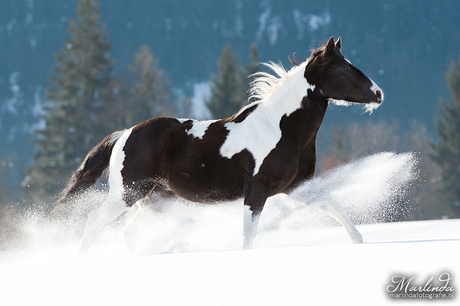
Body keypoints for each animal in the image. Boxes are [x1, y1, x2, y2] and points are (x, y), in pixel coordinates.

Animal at [58, 37, 384, 255]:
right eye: (344, 69)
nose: (379, 93)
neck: (282, 128)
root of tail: (125, 134)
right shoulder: (257, 191)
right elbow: (248, 237)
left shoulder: (297, 186)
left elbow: (334, 207)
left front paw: (358, 241)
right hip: (127, 193)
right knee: (94, 222)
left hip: (155, 198)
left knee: (128, 233)